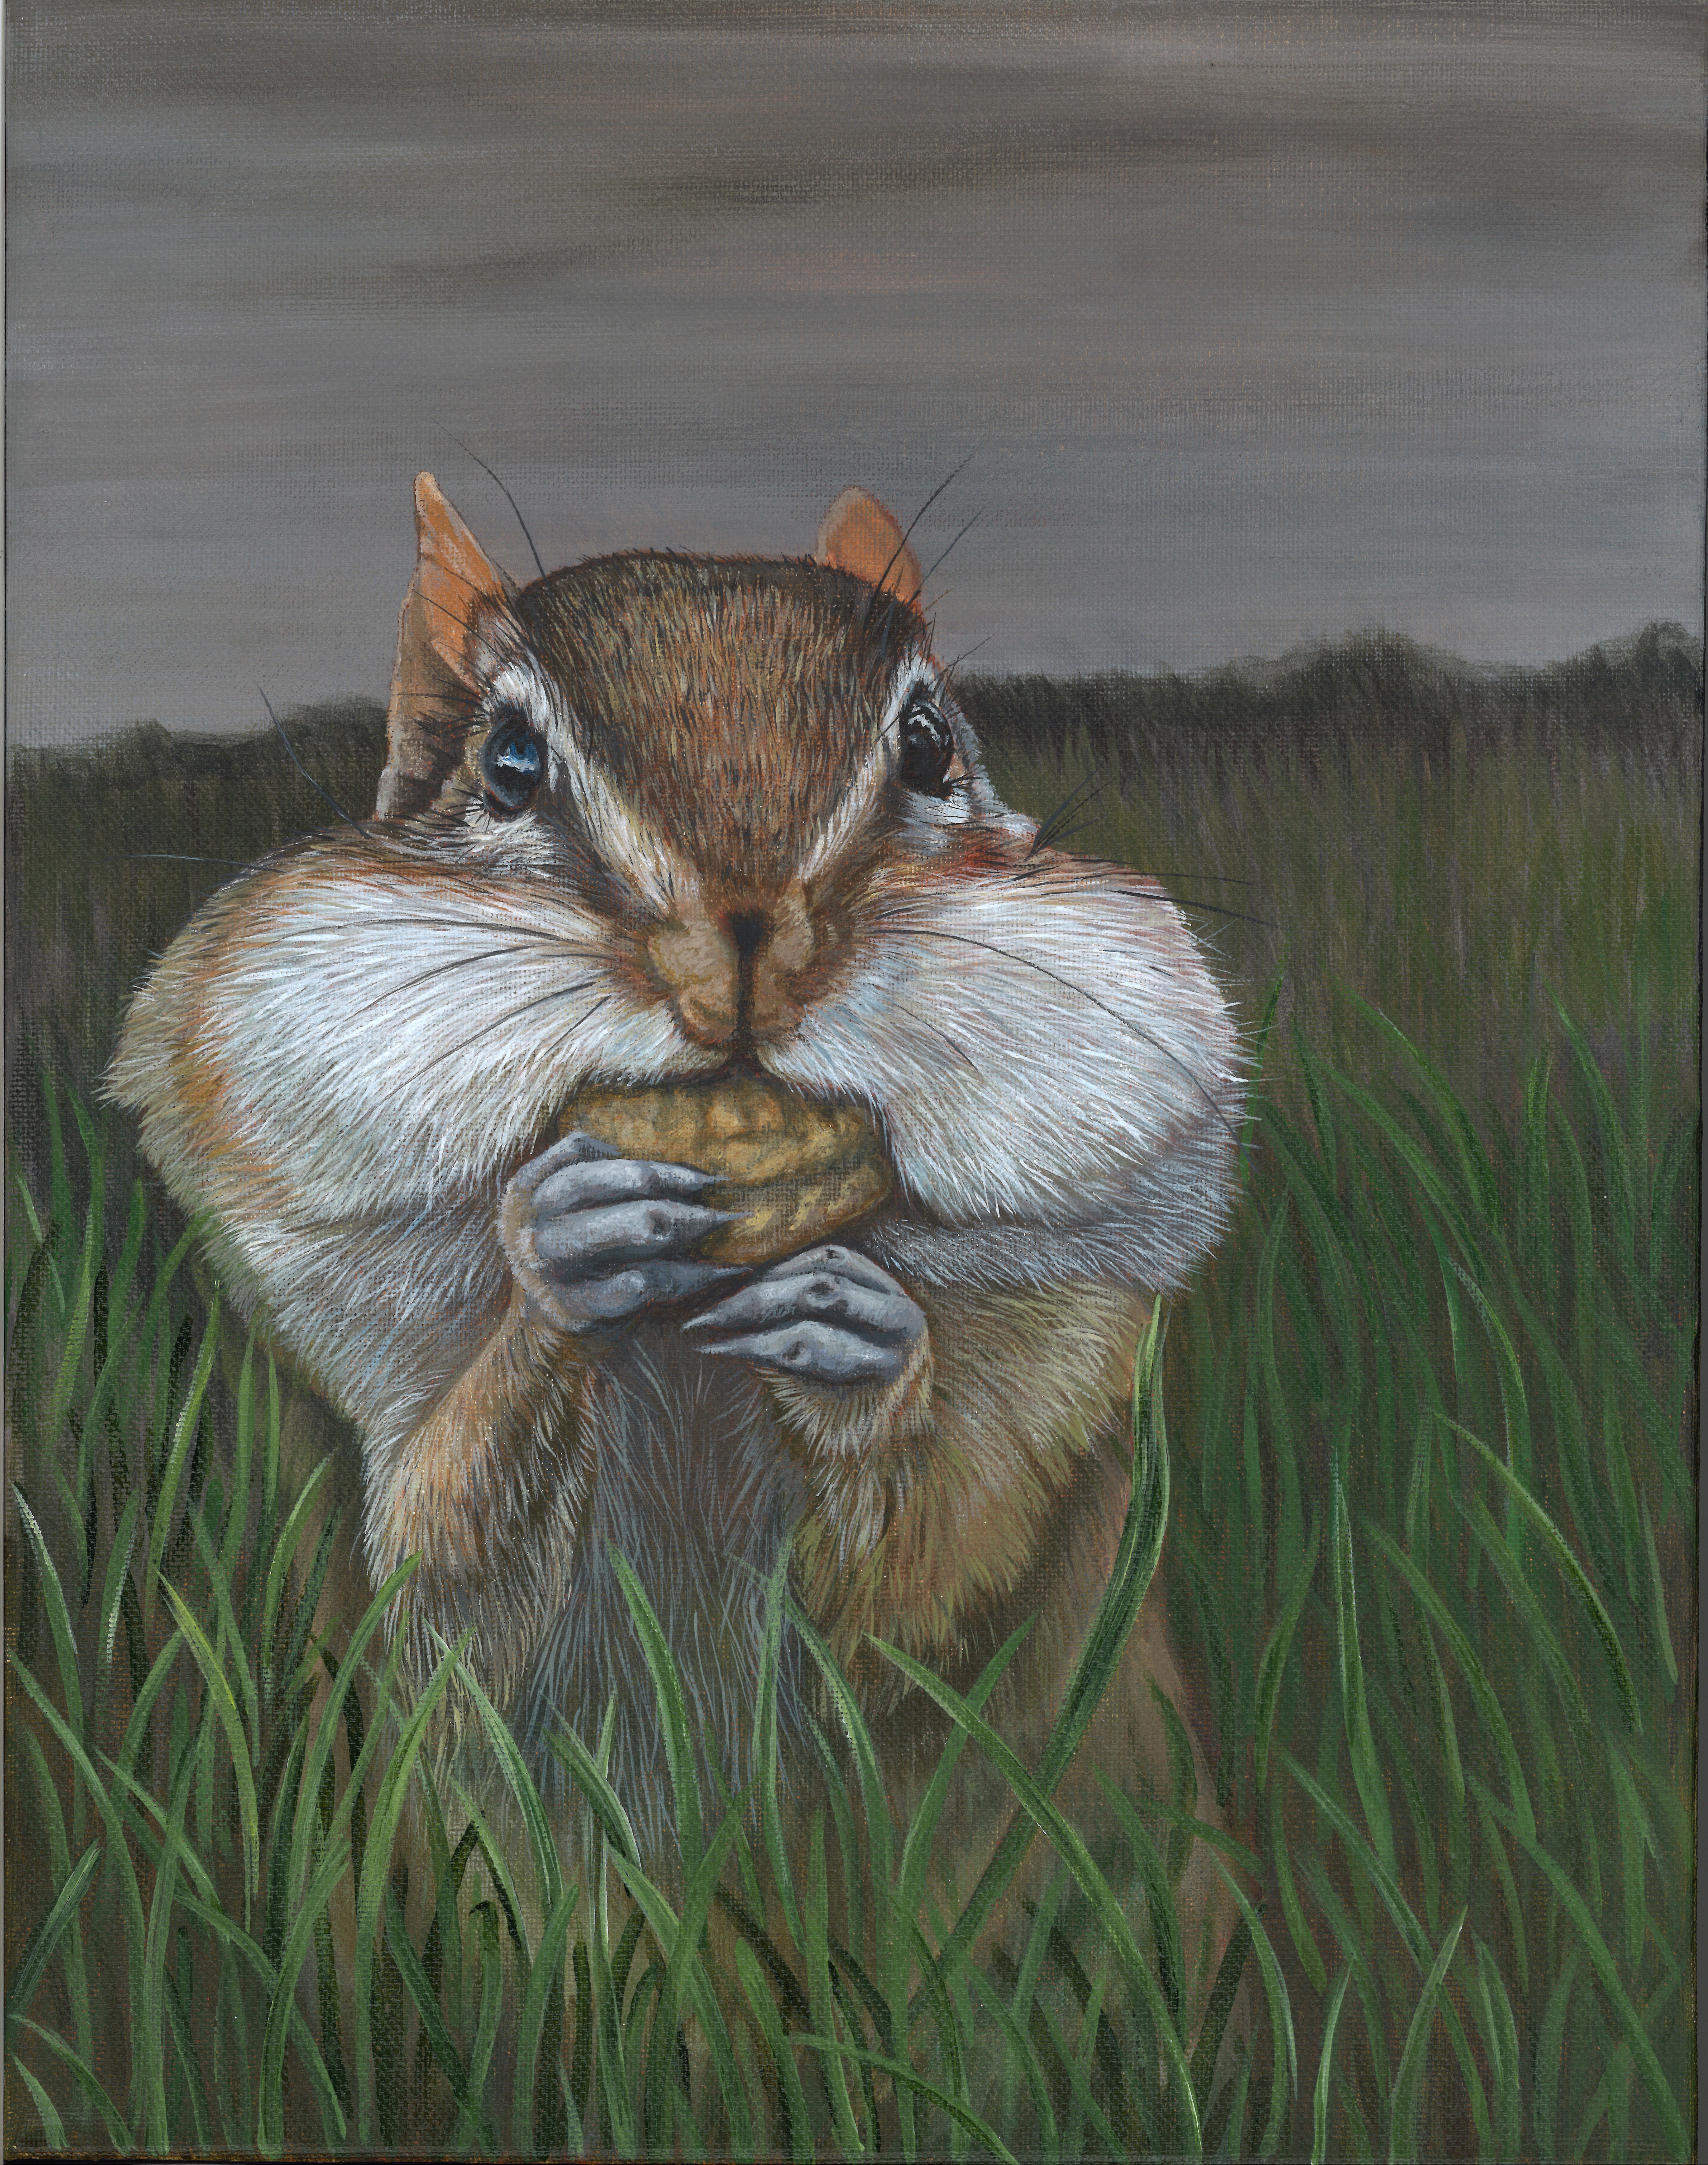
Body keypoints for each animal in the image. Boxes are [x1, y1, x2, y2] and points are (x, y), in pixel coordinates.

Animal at [110, 473, 1244, 2008]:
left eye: (928, 740)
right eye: (508, 760)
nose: (750, 942)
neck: (689, 1369)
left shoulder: (1064, 1350)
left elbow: (928, 1586)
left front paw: (858, 1342)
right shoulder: (359, 1362)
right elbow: (443, 1580)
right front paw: (561, 1257)